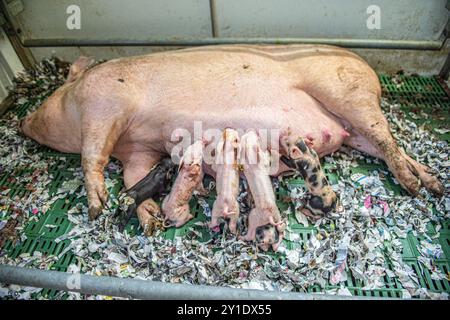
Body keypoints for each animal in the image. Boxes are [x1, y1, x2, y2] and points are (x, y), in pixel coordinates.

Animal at [20, 44, 442, 245]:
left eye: (45, 101)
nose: (22, 121)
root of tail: (372, 74)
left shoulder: (104, 104)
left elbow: (91, 154)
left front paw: (96, 206)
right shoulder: (138, 152)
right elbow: (133, 177)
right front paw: (151, 220)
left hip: (349, 94)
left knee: (387, 139)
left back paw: (413, 186)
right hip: (353, 129)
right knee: (392, 146)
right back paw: (432, 183)